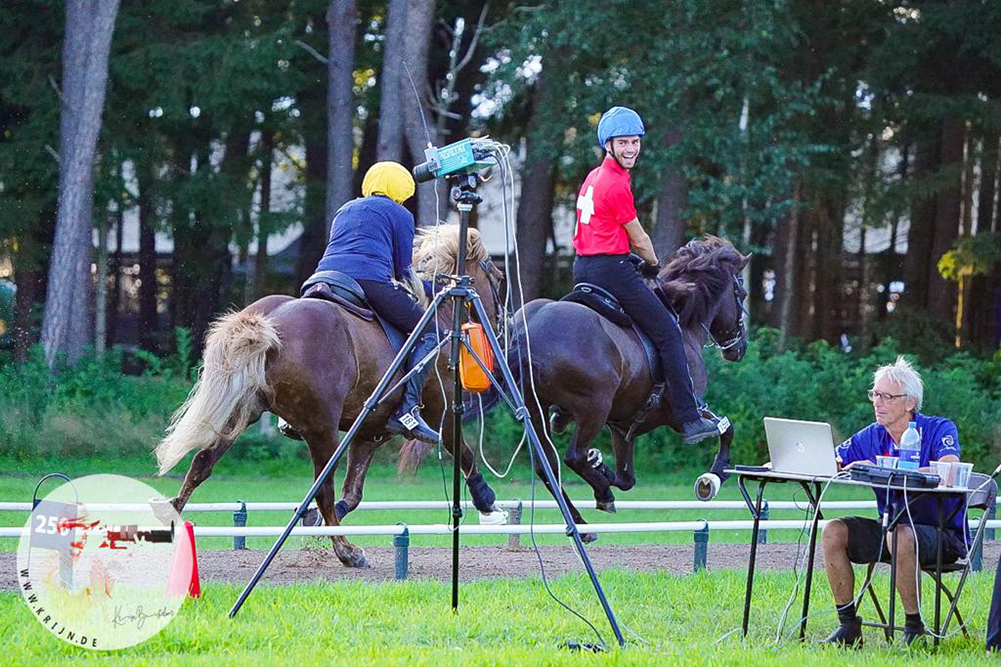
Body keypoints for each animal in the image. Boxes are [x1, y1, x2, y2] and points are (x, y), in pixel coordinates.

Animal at [155, 224, 504, 564]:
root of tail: (268, 319)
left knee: (201, 464)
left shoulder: (369, 432)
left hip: (239, 414)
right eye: (498, 278)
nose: (502, 325)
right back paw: (347, 552)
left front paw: (312, 520)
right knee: (322, 487)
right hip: (321, 430)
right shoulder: (439, 413)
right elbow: (465, 453)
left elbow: (353, 494)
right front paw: (487, 502)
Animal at [508, 233, 752, 536]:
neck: (683, 323)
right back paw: (601, 496)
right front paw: (712, 478)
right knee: (572, 456)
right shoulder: (685, 411)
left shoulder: (622, 427)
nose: (739, 349)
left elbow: (627, 478)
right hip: (594, 409)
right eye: (741, 294)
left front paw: (599, 463)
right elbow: (726, 429)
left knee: (549, 467)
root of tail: (527, 334)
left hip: (536, 410)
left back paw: (582, 524)